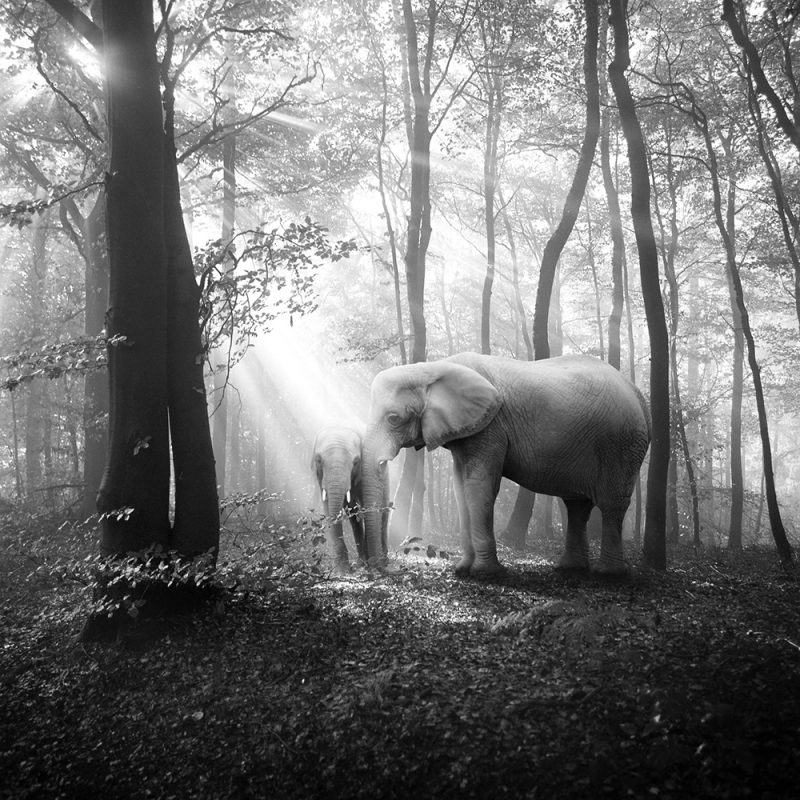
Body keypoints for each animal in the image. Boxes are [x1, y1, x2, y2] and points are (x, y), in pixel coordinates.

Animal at [362, 354, 648, 580]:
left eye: (393, 418)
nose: (387, 567)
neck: (432, 368)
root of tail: (637, 394)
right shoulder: (467, 431)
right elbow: (460, 487)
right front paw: (462, 570)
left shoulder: (491, 427)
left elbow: (479, 486)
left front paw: (486, 574)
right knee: (577, 506)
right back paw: (570, 568)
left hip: (621, 444)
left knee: (611, 504)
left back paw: (607, 574)